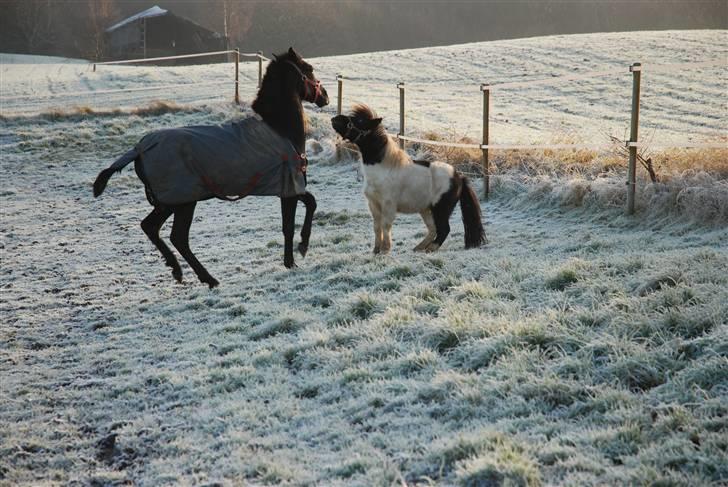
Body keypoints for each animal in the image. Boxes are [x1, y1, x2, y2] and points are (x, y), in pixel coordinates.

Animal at [332, 104, 486, 254]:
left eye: (359, 121)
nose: (334, 119)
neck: (384, 168)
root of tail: (459, 177)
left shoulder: (388, 205)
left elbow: (386, 225)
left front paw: (385, 250)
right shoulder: (373, 204)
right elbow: (377, 226)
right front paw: (376, 250)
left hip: (440, 209)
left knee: (443, 229)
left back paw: (430, 249)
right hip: (426, 209)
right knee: (433, 229)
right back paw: (419, 248)